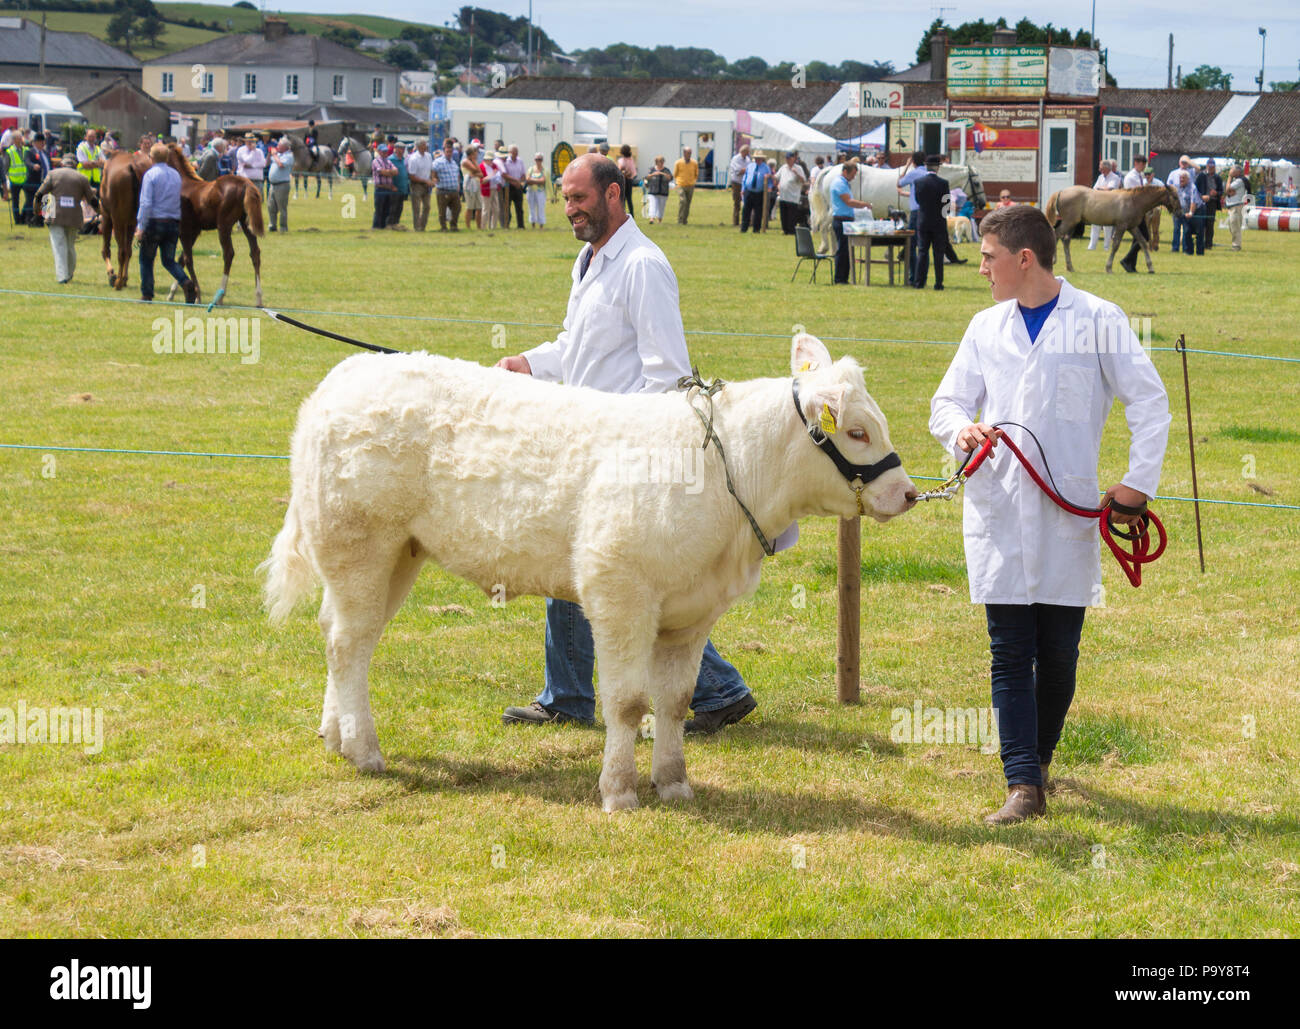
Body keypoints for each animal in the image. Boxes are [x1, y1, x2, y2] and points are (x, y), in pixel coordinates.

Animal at [263, 335, 915, 810]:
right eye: (856, 431)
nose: (907, 492)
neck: (724, 475)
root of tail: (346, 374)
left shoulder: (693, 612)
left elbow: (673, 702)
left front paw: (675, 784)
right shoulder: (619, 590)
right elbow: (626, 703)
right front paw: (619, 791)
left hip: (398, 553)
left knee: (345, 636)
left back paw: (336, 735)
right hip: (361, 545)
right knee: (349, 644)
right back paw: (365, 751)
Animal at [811, 163, 982, 255]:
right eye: (977, 183)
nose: (982, 202)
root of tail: (832, 169)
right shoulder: (909, 213)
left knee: (830, 228)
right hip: (833, 208)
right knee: (826, 227)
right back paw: (826, 249)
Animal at [1045, 184, 1180, 272]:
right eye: (1175, 196)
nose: (1180, 212)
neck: (1134, 201)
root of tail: (1061, 191)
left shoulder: (1132, 227)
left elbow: (1142, 242)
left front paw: (1150, 267)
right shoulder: (1121, 226)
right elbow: (1115, 245)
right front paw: (1108, 267)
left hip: (1073, 223)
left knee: (1065, 240)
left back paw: (1070, 267)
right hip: (1069, 222)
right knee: (1056, 234)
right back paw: (1053, 260)